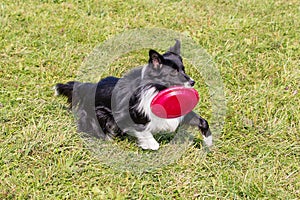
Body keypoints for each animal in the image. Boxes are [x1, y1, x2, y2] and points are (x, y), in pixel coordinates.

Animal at [55, 40, 212, 150]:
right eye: (174, 72)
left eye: (183, 69)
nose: (192, 82)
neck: (156, 89)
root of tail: (92, 87)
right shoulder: (128, 114)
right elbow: (143, 130)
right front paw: (151, 144)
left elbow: (202, 121)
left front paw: (208, 141)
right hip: (99, 114)